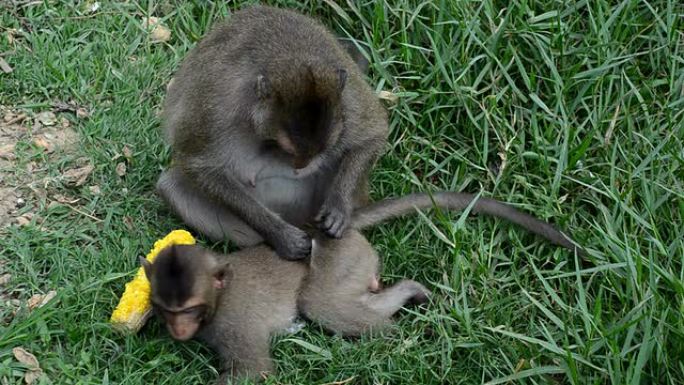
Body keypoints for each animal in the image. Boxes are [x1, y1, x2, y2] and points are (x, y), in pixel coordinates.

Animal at [157, 5, 388, 258]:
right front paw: (281, 235)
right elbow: (200, 166)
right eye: (286, 148)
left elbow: (372, 135)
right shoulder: (215, 108)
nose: (300, 167)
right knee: (170, 186)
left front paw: (338, 207)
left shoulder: (347, 97)